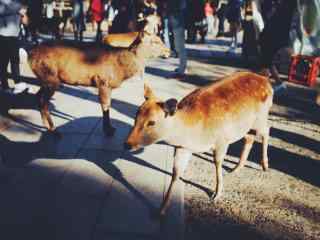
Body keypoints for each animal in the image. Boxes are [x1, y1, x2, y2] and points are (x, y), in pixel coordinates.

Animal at [124, 71, 274, 216]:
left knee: (267, 130)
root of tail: (266, 80)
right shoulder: (182, 148)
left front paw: (216, 194)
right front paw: (161, 210)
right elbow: (176, 173)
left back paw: (265, 166)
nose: (127, 144)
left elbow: (217, 163)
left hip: (260, 118)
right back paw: (236, 168)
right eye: (136, 115)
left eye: (151, 122)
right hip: (246, 126)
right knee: (250, 138)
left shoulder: (222, 140)